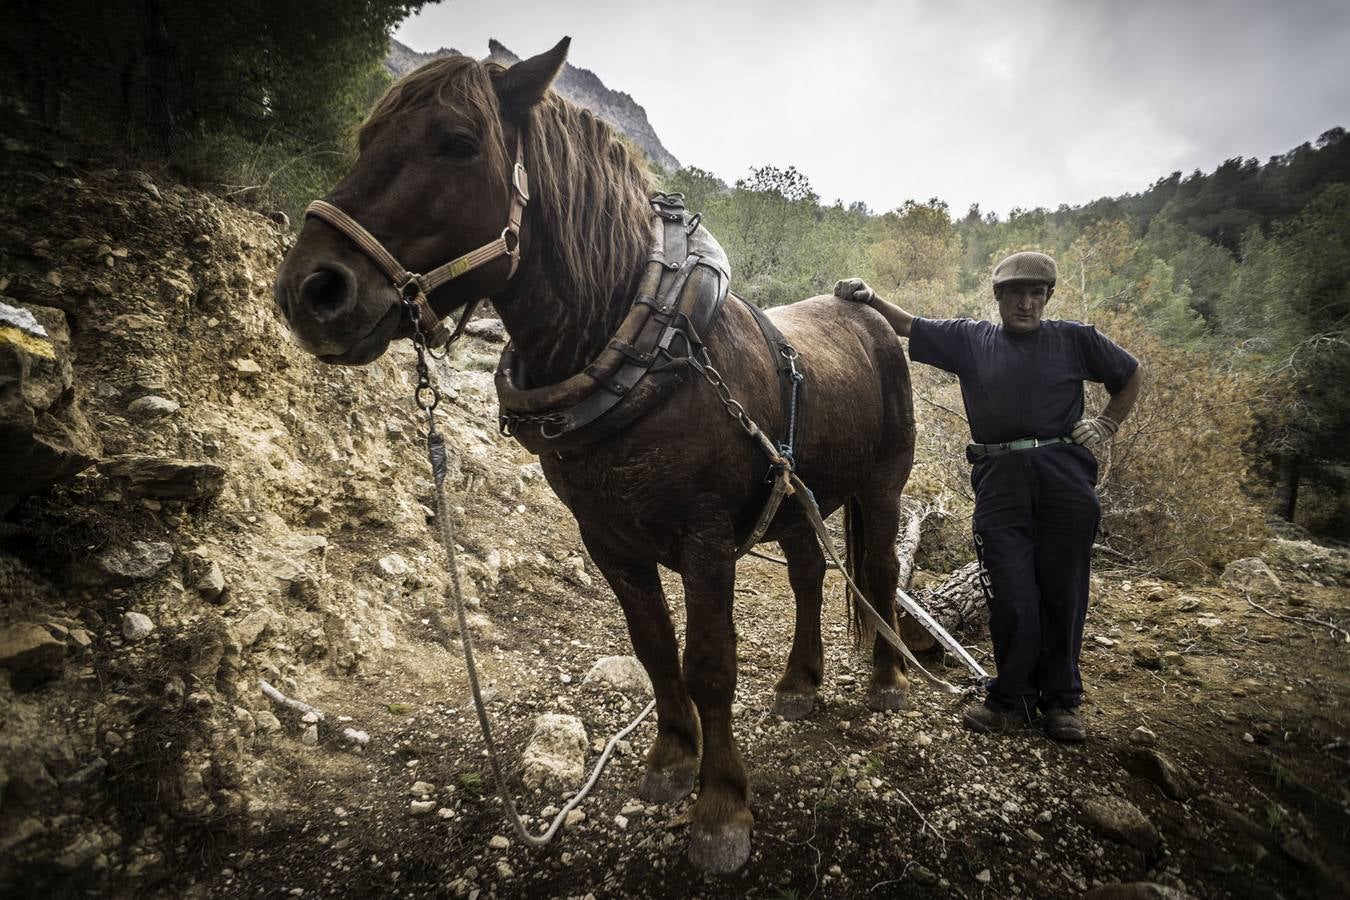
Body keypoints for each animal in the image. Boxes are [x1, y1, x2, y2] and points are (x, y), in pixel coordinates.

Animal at [268, 36, 912, 874]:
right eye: (364, 136)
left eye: (458, 143)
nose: (311, 291)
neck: (647, 349)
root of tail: (869, 316)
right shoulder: (607, 539)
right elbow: (653, 648)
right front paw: (670, 761)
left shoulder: (707, 541)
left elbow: (709, 664)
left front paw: (721, 808)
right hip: (798, 498)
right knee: (808, 571)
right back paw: (800, 685)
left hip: (883, 488)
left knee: (881, 574)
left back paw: (888, 682)